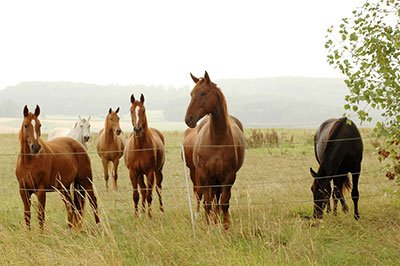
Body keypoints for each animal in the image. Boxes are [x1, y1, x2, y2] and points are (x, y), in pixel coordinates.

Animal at [184, 71, 244, 230]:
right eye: (191, 94)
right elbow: (207, 203)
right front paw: (209, 227)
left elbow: (224, 203)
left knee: (218, 199)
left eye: (203, 93)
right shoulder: (205, 175)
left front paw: (225, 227)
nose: (189, 119)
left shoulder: (229, 177)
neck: (217, 139)